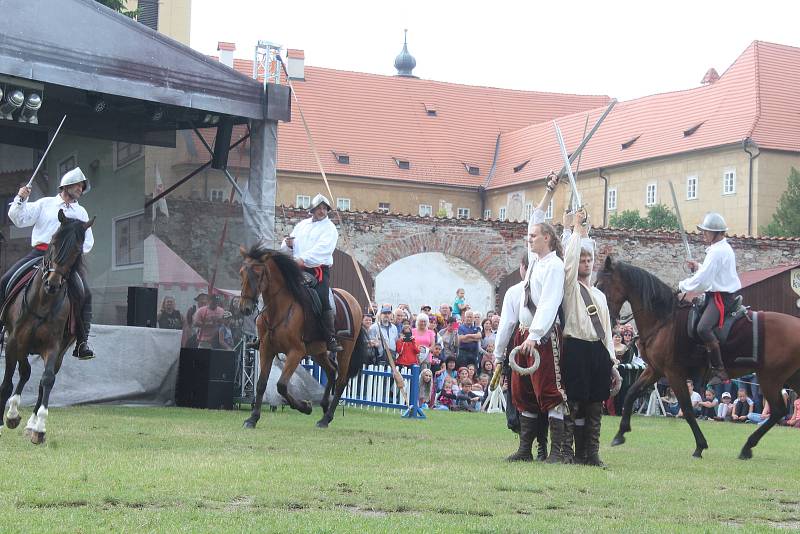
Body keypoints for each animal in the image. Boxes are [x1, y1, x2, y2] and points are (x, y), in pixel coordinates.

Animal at [0, 211, 94, 446]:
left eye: (77, 250)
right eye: (53, 242)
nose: (52, 284)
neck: (43, 302)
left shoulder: (54, 347)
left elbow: (46, 380)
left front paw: (39, 428)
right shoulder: (14, 341)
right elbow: (9, 380)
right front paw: (8, 418)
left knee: (40, 381)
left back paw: (28, 423)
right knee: (24, 373)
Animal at [234, 245, 366, 430]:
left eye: (258, 275)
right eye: (241, 273)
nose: (245, 308)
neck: (279, 310)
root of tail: (353, 301)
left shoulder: (295, 352)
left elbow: (281, 385)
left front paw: (305, 406)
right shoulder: (266, 350)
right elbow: (261, 385)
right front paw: (252, 419)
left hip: (345, 350)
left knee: (341, 380)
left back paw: (326, 418)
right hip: (318, 351)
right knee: (331, 371)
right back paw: (324, 407)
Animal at [596, 256, 800, 460]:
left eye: (601, 285)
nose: (607, 320)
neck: (664, 320)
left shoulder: (674, 374)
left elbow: (687, 409)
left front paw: (700, 446)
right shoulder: (655, 370)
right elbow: (631, 393)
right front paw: (620, 434)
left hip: (770, 378)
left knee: (778, 410)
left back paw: (747, 447)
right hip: (789, 377)